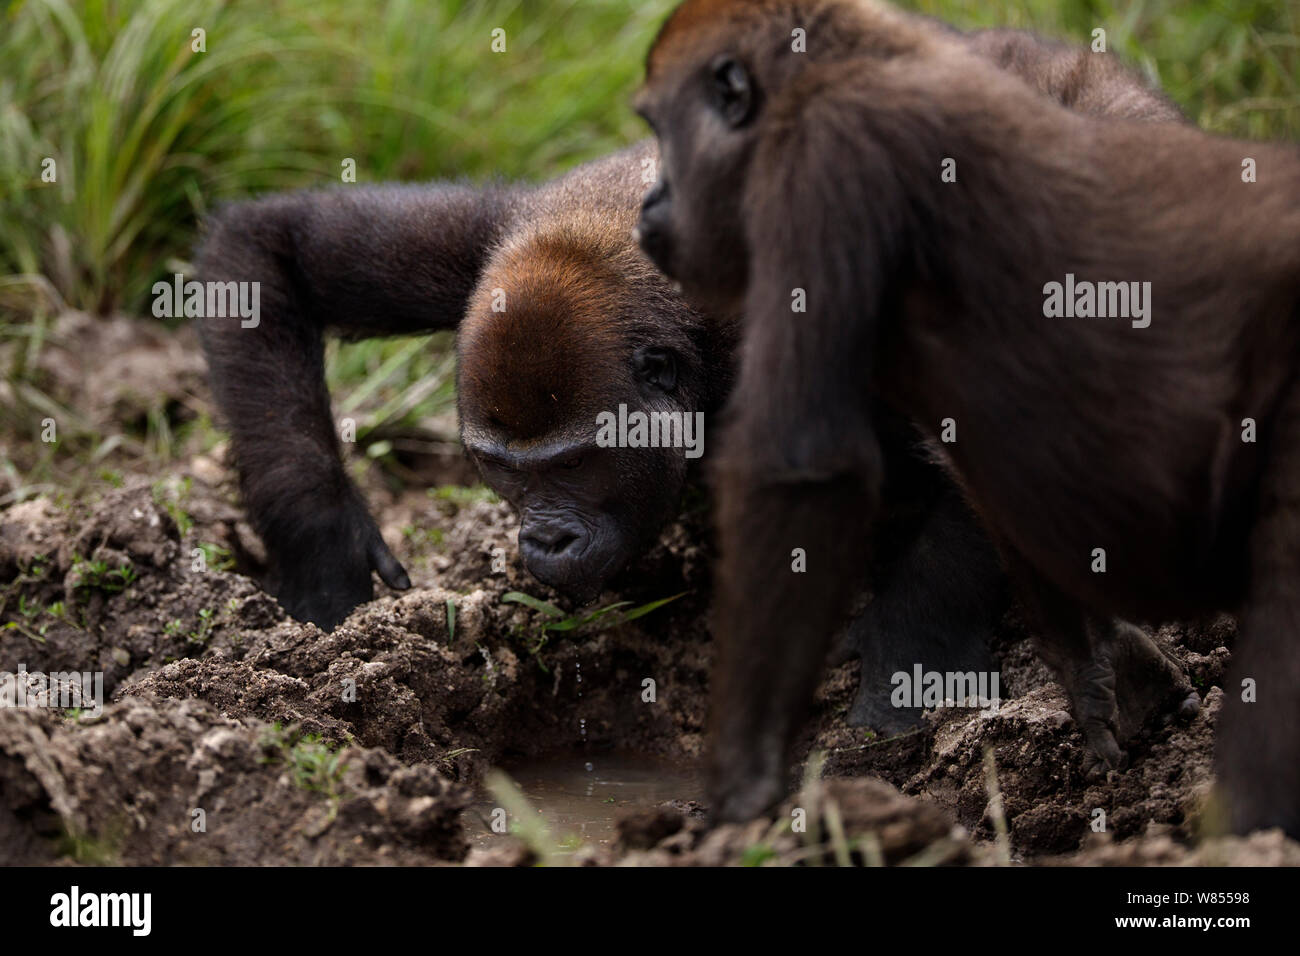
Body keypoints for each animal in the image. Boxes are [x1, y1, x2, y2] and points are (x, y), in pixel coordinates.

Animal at [631, 0, 1300, 832]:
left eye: (662, 132)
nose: (649, 203)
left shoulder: (824, 160)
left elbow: (802, 469)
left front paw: (742, 782)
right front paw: (1099, 663)